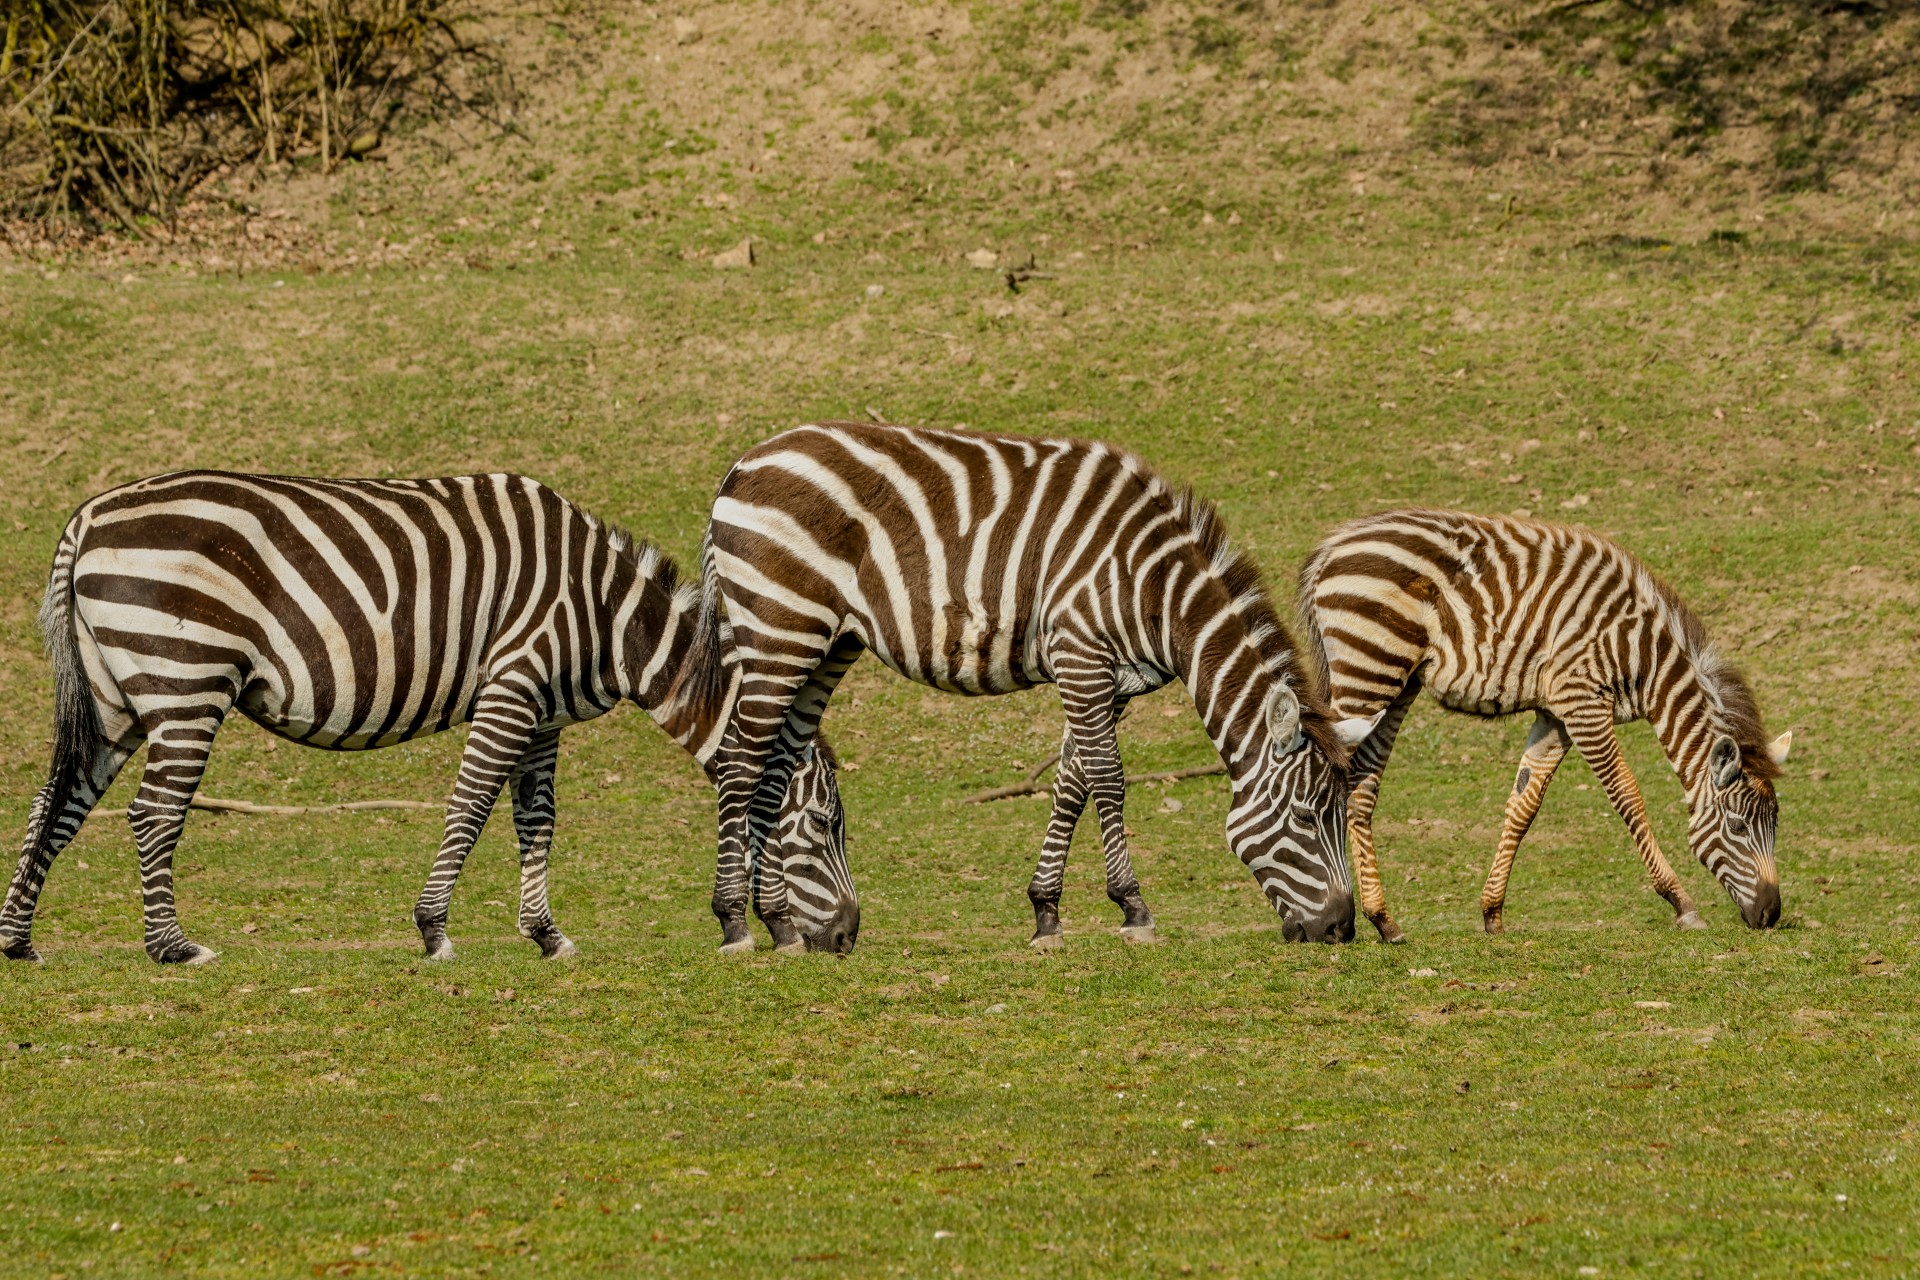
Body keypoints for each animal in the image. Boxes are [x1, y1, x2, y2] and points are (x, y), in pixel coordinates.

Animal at [1, 471, 857, 966]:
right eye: (824, 828)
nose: (847, 939)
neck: (612, 619)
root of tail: (88, 517)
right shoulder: (514, 685)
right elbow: (470, 808)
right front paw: (434, 930)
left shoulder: (543, 716)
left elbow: (537, 820)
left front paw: (546, 936)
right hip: (184, 679)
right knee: (152, 814)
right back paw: (172, 947)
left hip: (115, 695)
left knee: (54, 804)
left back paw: (18, 941)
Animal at [697, 421, 1382, 952]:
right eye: (1306, 815)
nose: (1340, 930)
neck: (1156, 591)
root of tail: (743, 462)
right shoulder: (1080, 654)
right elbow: (1109, 778)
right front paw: (1134, 908)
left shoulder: (1113, 679)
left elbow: (1073, 781)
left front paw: (1046, 912)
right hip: (780, 626)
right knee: (741, 759)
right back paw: (736, 924)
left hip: (826, 643)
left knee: (776, 767)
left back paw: (783, 924)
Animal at [1298, 508, 1791, 942]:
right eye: (1738, 827)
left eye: (1776, 824)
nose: (1771, 914)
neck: (1644, 656)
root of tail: (1332, 546)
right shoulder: (1582, 701)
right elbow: (1628, 795)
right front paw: (1681, 903)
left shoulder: (1557, 713)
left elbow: (1524, 805)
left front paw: (1492, 913)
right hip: (1369, 669)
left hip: (1395, 682)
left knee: (1362, 786)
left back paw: (1383, 920)